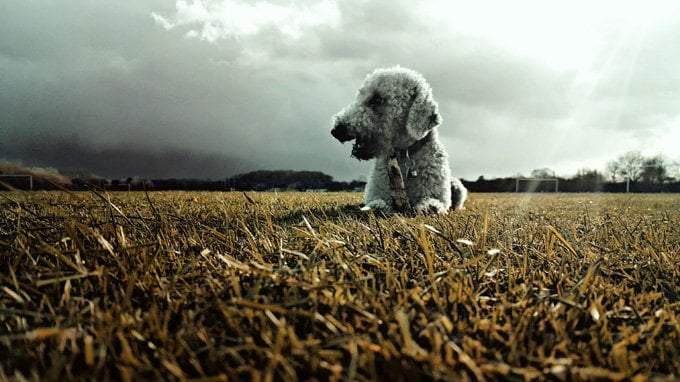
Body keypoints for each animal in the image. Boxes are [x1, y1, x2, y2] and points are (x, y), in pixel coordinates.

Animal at [330, 66, 468, 215]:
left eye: (377, 99)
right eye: (360, 95)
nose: (336, 130)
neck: (404, 154)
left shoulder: (437, 196)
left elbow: (433, 203)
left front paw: (428, 207)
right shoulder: (377, 193)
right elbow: (378, 203)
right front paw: (377, 208)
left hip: (456, 186)